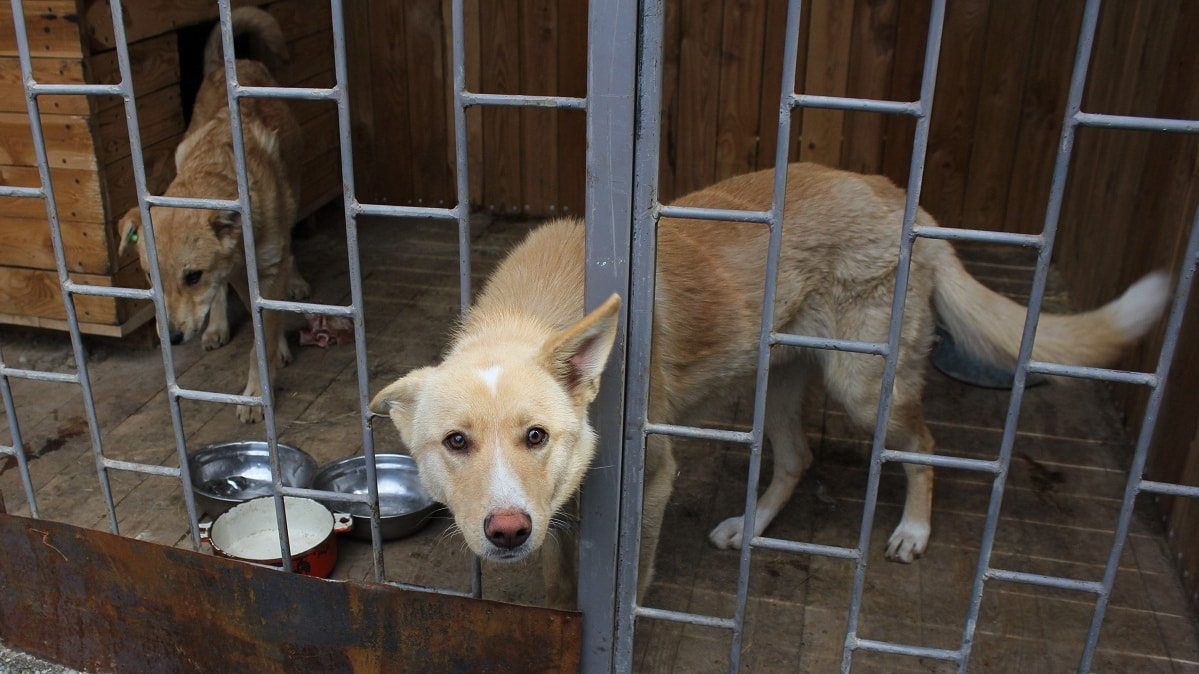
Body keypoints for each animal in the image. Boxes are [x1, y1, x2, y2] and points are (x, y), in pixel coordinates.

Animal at [119, 6, 309, 419]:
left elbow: (264, 331)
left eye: (192, 276)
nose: (172, 337)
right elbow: (253, 320)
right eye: (148, 276)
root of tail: (233, 61)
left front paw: (258, 389)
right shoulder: (237, 273)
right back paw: (217, 326)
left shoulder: (268, 268)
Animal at [369, 159, 1165, 606]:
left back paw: (912, 530)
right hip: (781, 385)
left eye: (535, 436)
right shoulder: (561, 514)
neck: (533, 307)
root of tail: (900, 198)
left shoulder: (650, 478)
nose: (506, 530)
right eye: (455, 443)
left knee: (924, 445)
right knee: (798, 457)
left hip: (863, 388)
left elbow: (630, 586)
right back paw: (751, 525)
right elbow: (558, 583)